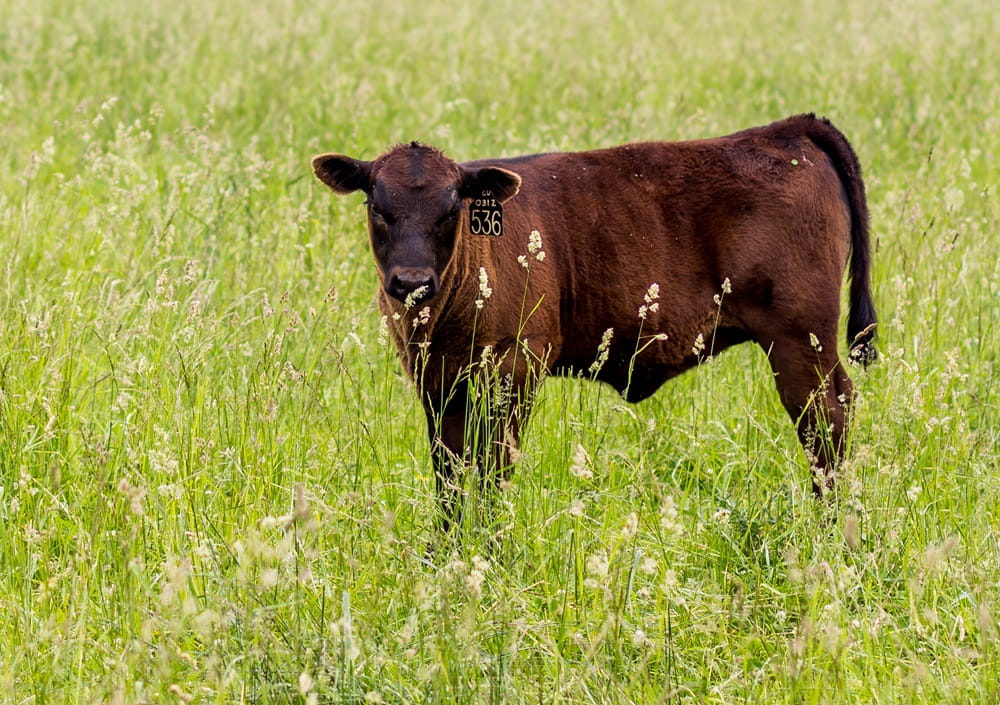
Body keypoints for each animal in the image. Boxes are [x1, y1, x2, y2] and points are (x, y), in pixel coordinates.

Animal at [312, 113, 877, 530]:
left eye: (451, 209)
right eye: (377, 206)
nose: (411, 282)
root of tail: (789, 128)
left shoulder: (516, 367)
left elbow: (493, 467)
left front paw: (490, 548)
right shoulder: (436, 378)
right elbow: (448, 471)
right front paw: (446, 551)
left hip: (800, 339)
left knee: (826, 420)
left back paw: (829, 530)